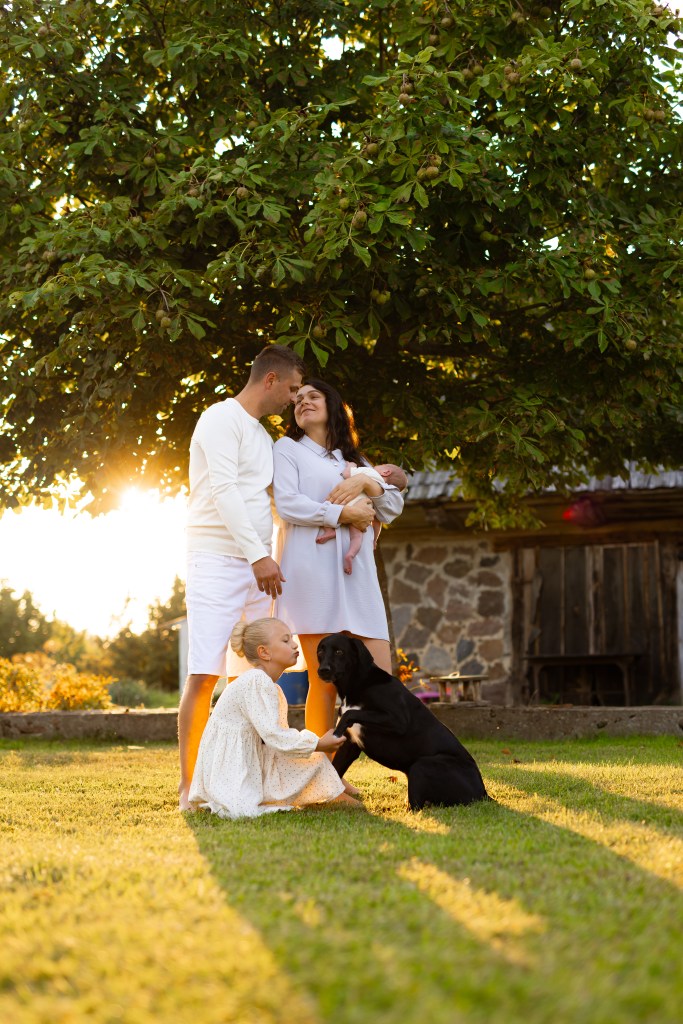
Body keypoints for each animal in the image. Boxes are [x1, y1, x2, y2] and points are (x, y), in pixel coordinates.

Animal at [317, 634, 490, 810]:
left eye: (339, 651)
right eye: (320, 652)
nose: (323, 670)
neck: (357, 685)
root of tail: (483, 792)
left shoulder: (398, 720)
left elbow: (350, 713)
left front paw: (335, 731)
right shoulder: (350, 745)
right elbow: (335, 769)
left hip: (421, 765)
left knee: (415, 807)